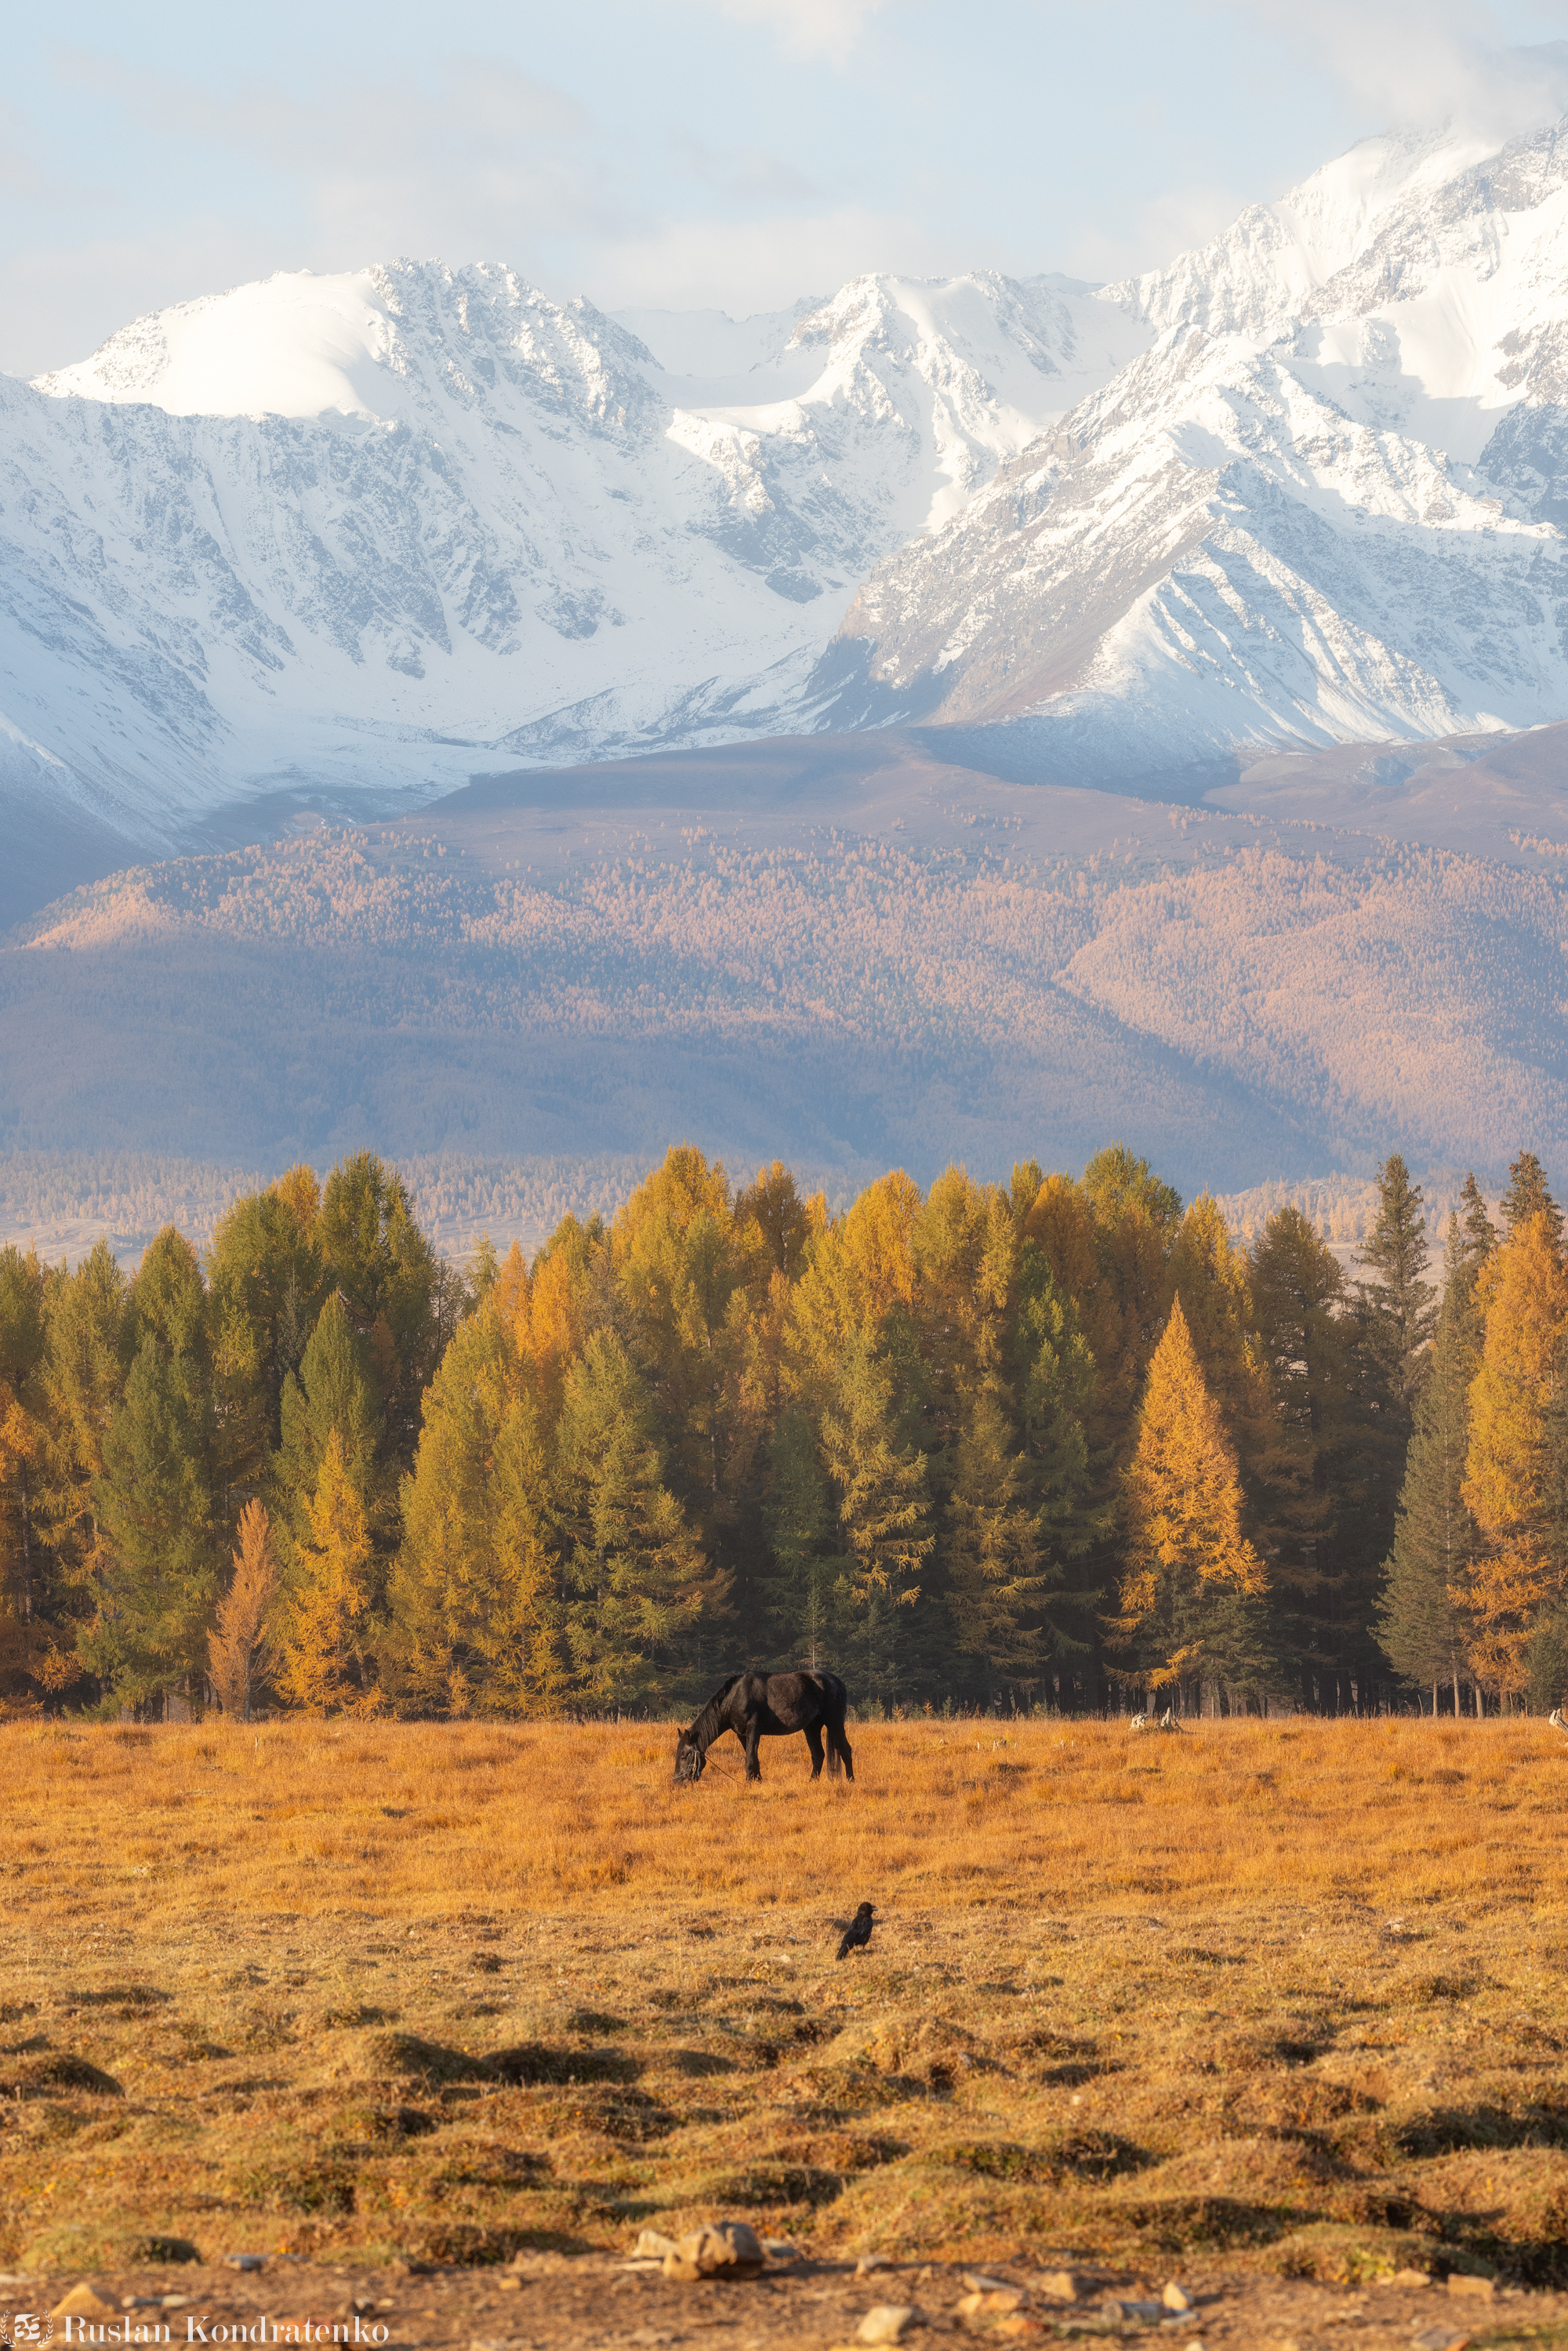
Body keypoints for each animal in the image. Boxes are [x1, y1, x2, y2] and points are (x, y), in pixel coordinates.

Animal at [667, 1674, 851, 1777]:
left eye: (684, 1756)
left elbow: (749, 1759)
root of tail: (837, 1682)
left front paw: (748, 1783)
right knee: (818, 1755)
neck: (736, 1697)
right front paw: (758, 1781)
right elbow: (754, 1759)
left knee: (845, 1750)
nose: (677, 1781)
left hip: (834, 1722)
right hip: (812, 1727)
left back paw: (850, 1780)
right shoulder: (742, 1734)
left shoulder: (753, 1729)